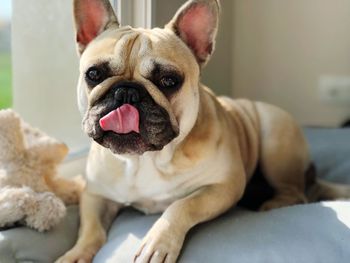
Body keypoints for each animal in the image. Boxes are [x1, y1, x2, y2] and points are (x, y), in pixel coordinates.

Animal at [55, 0, 350, 263]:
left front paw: (157, 243)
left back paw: (273, 204)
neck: (146, 160)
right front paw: (75, 255)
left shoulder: (223, 186)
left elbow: (181, 205)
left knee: (296, 192)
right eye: (94, 74)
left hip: (274, 141)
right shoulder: (96, 195)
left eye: (169, 81)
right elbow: (90, 230)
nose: (126, 92)